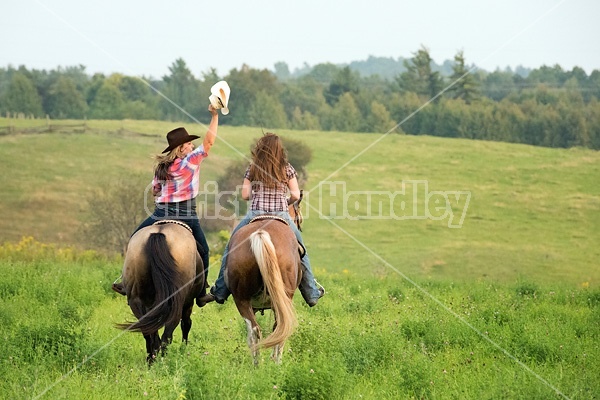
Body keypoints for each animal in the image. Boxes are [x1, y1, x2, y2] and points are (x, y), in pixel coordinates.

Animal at [116, 220, 205, 364]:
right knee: (169, 332)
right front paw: (183, 349)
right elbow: (186, 324)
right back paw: (163, 360)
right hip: (177, 301)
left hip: (136, 300)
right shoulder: (188, 302)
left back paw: (152, 360)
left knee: (148, 331)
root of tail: (158, 234)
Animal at [227, 192, 308, 364]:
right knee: (280, 328)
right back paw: (276, 363)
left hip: (241, 298)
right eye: (299, 219)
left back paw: (256, 365)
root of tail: (260, 234)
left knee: (254, 331)